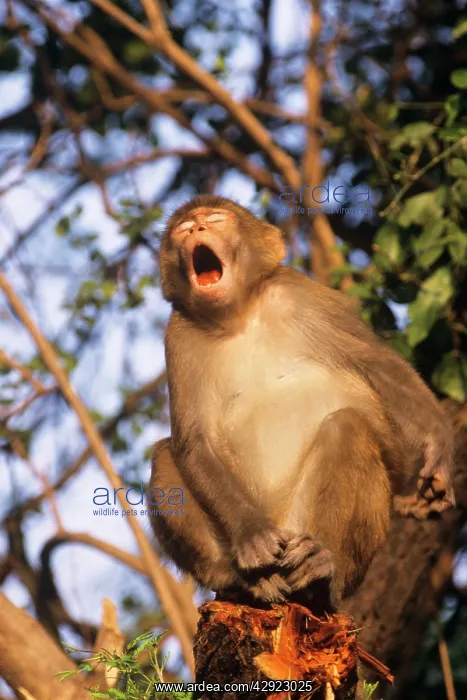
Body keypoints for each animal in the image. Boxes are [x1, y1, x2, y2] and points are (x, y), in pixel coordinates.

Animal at [149, 194, 455, 611]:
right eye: (183, 229)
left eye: (216, 219)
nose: (197, 228)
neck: (237, 315)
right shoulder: (178, 336)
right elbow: (194, 443)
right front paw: (252, 535)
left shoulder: (300, 294)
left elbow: (375, 363)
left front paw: (438, 446)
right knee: (165, 455)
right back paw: (245, 581)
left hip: (317, 535)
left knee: (348, 428)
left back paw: (324, 570)